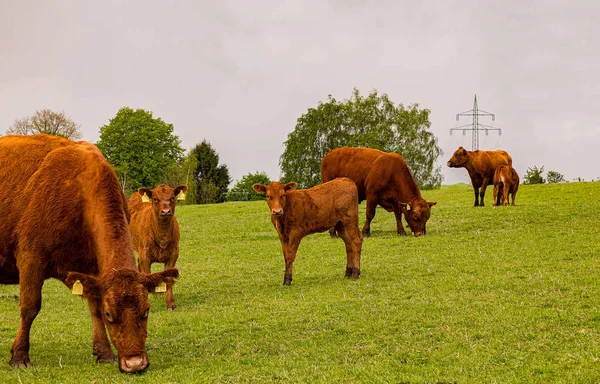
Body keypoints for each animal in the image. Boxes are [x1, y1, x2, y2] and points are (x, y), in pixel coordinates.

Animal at [0, 134, 178, 372]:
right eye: (110, 314)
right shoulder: (30, 258)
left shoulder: (93, 270)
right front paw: (19, 355)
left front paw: (104, 352)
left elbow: (94, 308)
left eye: (147, 310)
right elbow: (29, 307)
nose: (135, 363)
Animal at [128, 184, 188, 312]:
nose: (166, 211)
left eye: (172, 197)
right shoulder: (145, 255)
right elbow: (146, 275)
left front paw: (170, 304)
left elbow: (168, 278)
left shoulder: (173, 254)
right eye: (155, 198)